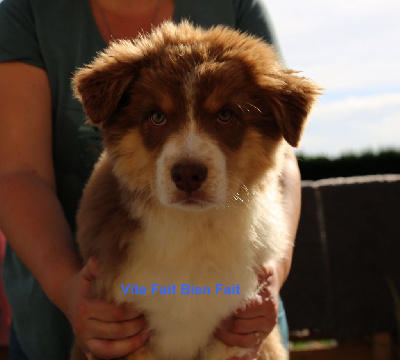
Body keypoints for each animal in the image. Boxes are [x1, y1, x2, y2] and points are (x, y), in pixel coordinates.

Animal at [71, 21, 318, 360]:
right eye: (157, 116)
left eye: (225, 115)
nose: (188, 175)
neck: (193, 228)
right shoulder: (125, 326)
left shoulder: (234, 331)